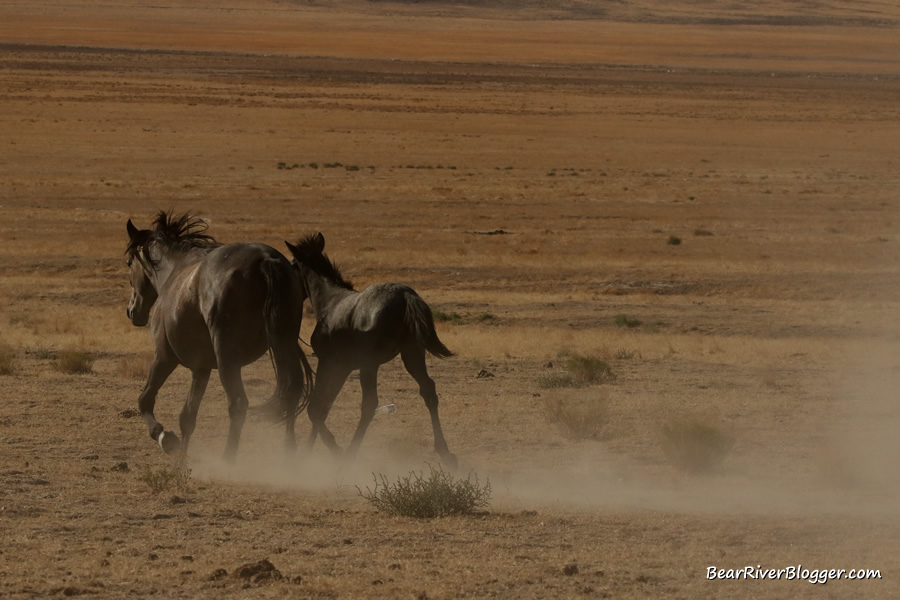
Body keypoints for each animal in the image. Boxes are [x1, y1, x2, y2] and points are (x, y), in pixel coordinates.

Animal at [124, 211, 312, 460]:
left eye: (129, 264)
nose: (132, 311)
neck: (174, 271)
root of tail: (266, 261)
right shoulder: (200, 368)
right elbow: (187, 417)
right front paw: (182, 459)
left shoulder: (165, 357)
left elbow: (145, 399)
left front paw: (166, 439)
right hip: (284, 346)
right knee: (292, 393)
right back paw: (289, 453)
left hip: (227, 360)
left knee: (238, 403)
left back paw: (227, 459)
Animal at [288, 232, 458, 466]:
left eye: (293, 264)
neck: (330, 302)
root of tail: (406, 295)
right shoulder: (344, 368)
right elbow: (324, 406)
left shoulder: (329, 362)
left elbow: (316, 408)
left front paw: (326, 451)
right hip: (412, 354)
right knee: (428, 391)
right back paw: (445, 453)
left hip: (370, 364)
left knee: (369, 405)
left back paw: (350, 455)